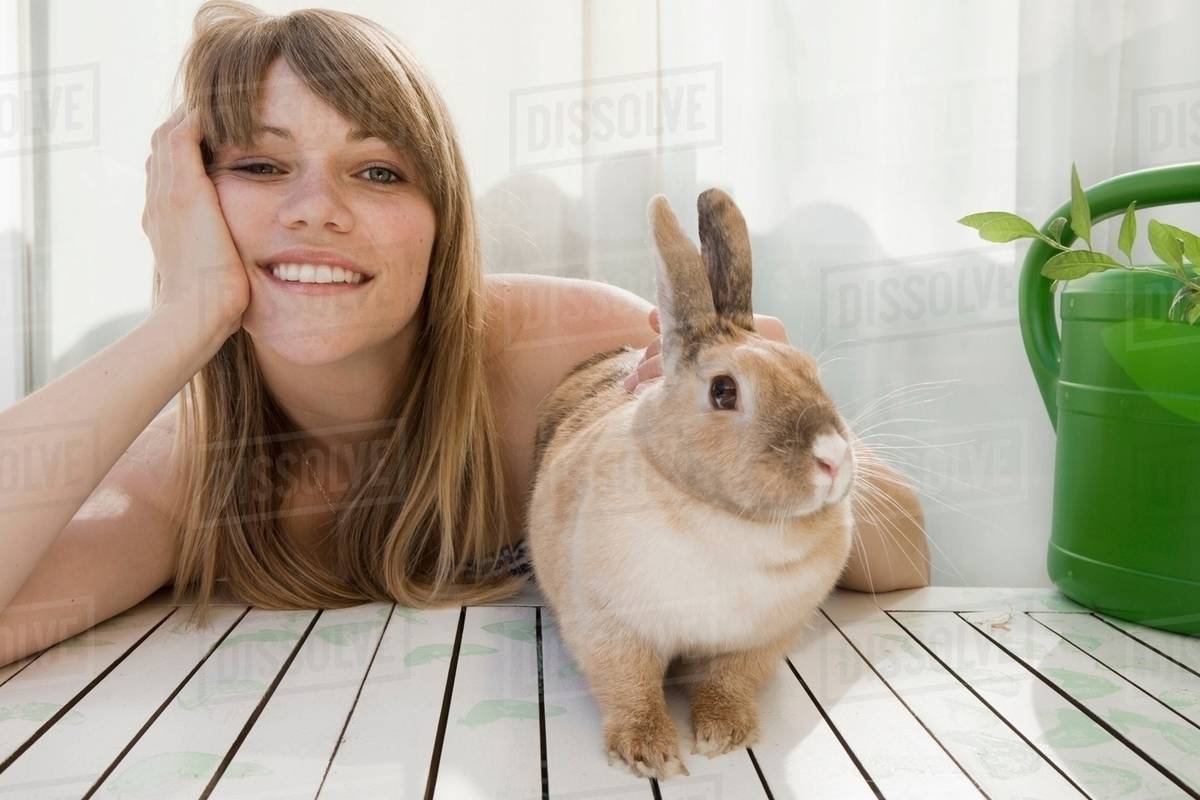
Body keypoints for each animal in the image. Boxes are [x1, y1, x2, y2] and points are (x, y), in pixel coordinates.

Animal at [525, 187, 857, 781]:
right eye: (724, 390)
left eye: (808, 370)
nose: (833, 459)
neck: (733, 523)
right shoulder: (610, 628)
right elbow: (629, 688)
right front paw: (649, 753)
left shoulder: (758, 642)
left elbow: (730, 682)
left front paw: (723, 734)